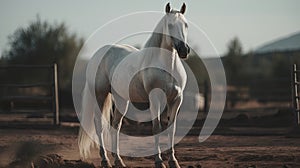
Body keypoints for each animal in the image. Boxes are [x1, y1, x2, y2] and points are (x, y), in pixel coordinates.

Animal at [78, 2, 190, 168]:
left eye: (186, 25)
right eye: (170, 25)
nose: (184, 50)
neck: (167, 67)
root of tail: (98, 54)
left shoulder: (176, 99)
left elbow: (172, 129)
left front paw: (173, 161)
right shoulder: (155, 99)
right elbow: (157, 128)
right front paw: (159, 161)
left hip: (121, 100)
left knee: (116, 125)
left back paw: (118, 160)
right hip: (100, 95)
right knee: (99, 125)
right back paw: (105, 160)